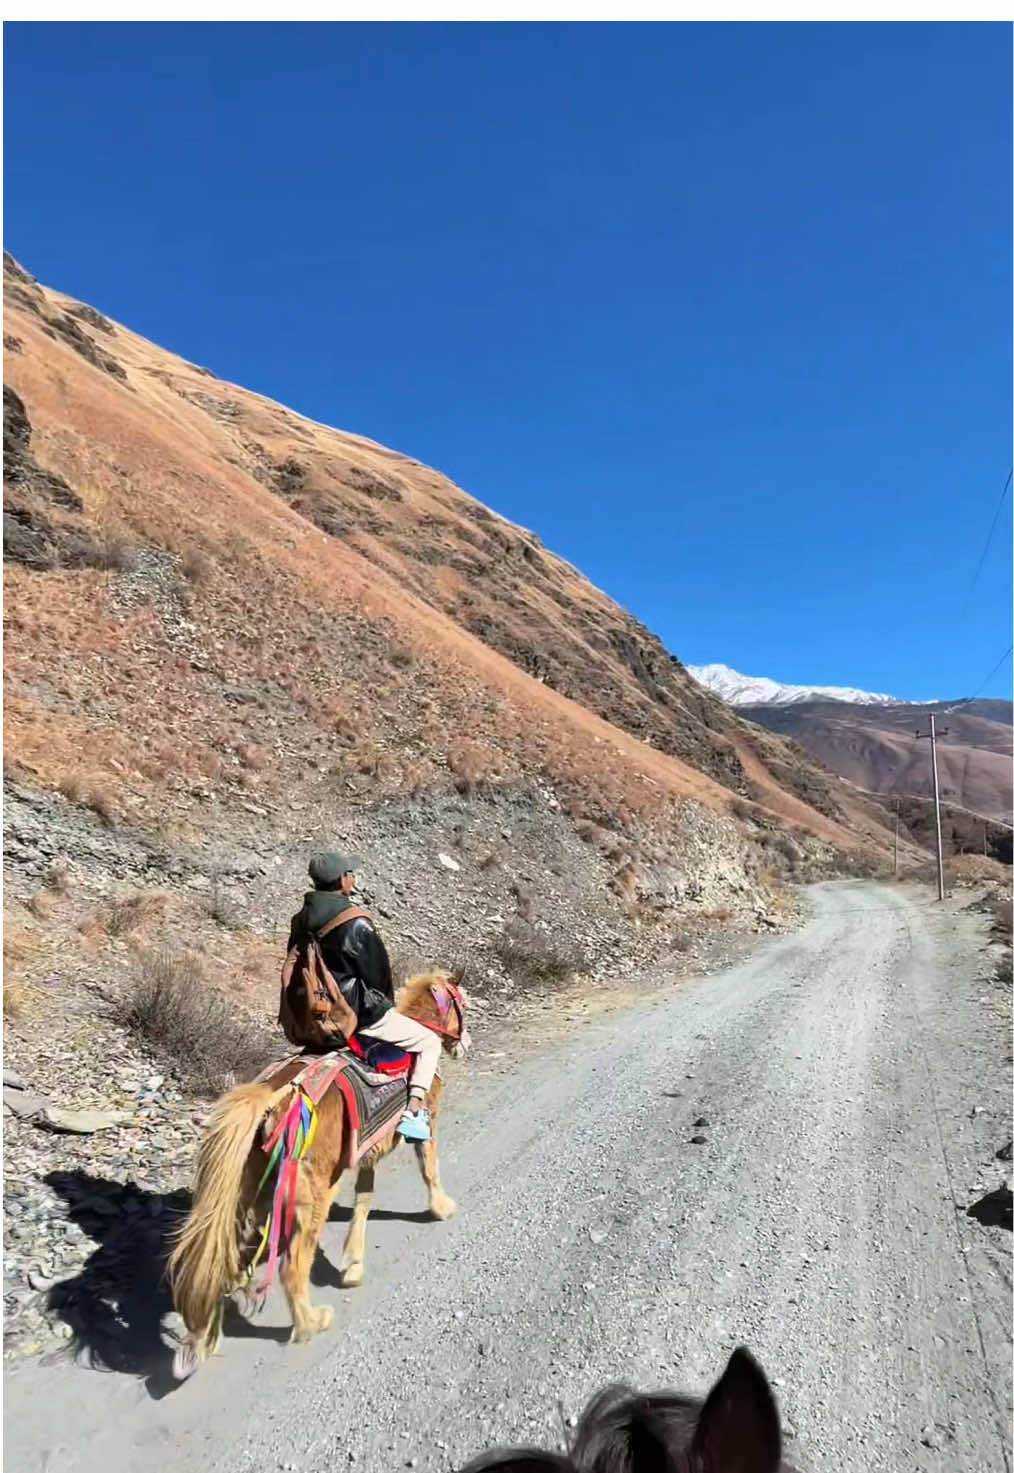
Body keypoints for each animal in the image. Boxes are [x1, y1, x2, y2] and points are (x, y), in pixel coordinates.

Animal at [168, 972, 468, 1372]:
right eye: (461, 1001)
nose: (464, 1044)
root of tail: (273, 1099)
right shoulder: (428, 1122)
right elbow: (429, 1170)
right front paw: (442, 1208)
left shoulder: (366, 1154)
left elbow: (363, 1201)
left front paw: (353, 1265)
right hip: (312, 1198)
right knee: (291, 1268)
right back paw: (311, 1323)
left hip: (251, 1194)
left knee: (223, 1258)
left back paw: (207, 1334)